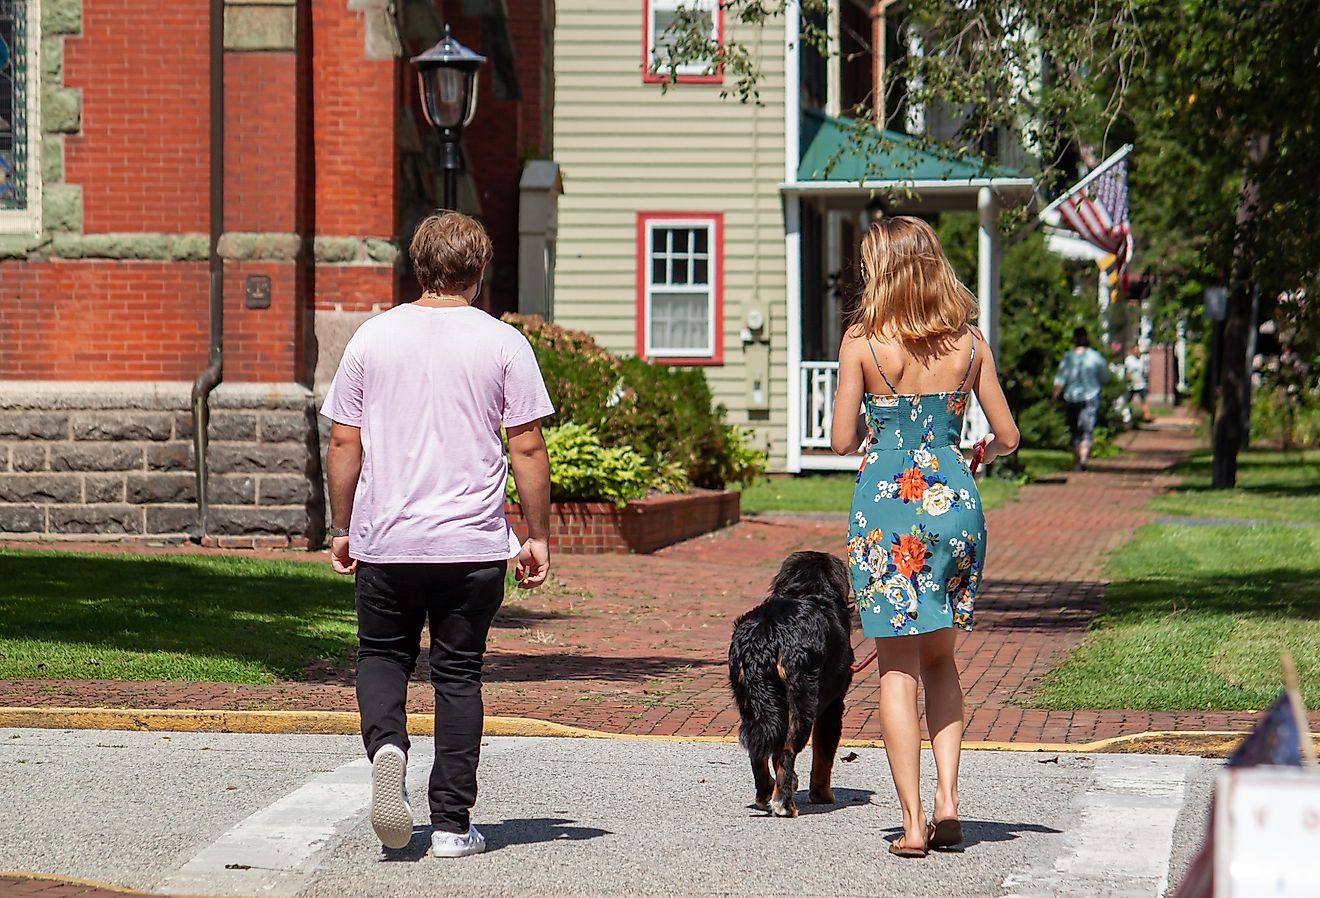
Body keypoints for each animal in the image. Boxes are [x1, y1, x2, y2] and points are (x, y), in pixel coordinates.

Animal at [723, 552, 855, 818]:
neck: (807, 592)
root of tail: (764, 634)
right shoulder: (832, 707)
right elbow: (823, 757)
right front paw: (822, 796)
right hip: (802, 704)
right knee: (787, 752)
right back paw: (784, 804)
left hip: (750, 702)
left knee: (759, 751)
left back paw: (766, 795)